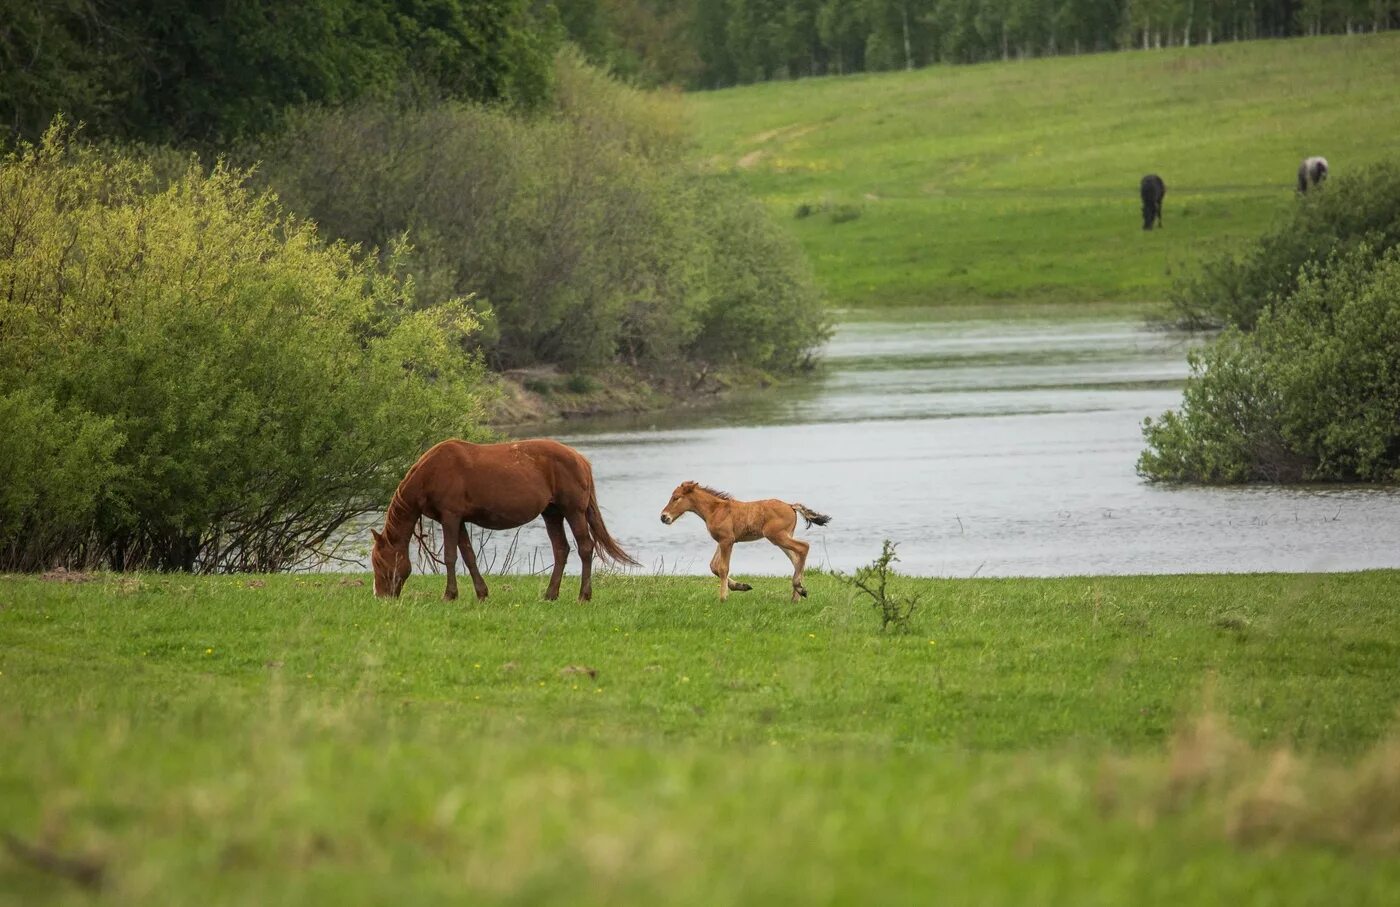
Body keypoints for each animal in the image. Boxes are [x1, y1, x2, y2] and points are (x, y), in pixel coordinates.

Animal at [658, 481, 828, 601]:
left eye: (676, 498)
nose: (663, 517)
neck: (715, 510)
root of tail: (791, 506)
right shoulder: (724, 540)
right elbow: (714, 566)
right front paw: (741, 586)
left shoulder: (727, 540)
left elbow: (723, 568)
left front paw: (723, 598)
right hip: (783, 538)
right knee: (796, 558)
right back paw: (797, 595)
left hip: (777, 536)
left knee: (803, 547)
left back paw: (799, 588)